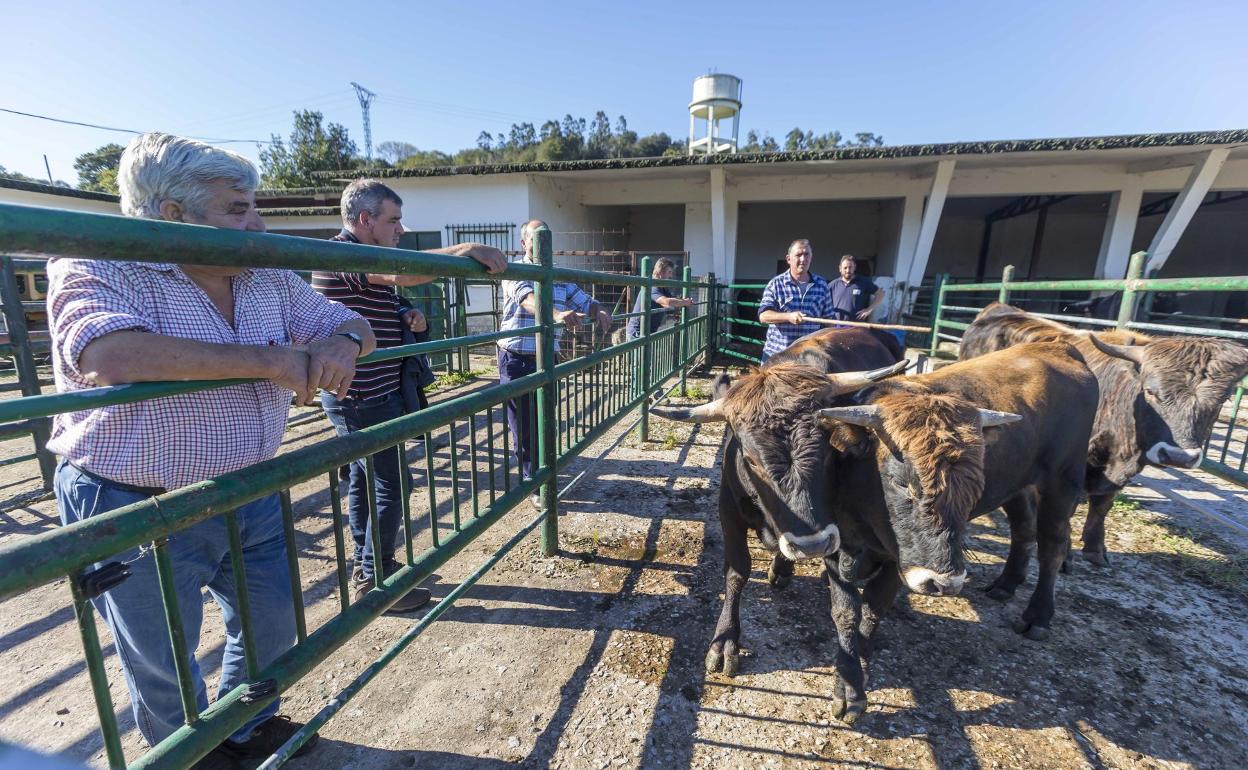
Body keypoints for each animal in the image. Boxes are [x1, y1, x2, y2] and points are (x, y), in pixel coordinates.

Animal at [953, 302, 1248, 564]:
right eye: (1150, 391)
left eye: (1222, 400)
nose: (1179, 457)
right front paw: (1067, 555)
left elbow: (1103, 503)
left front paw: (1095, 548)